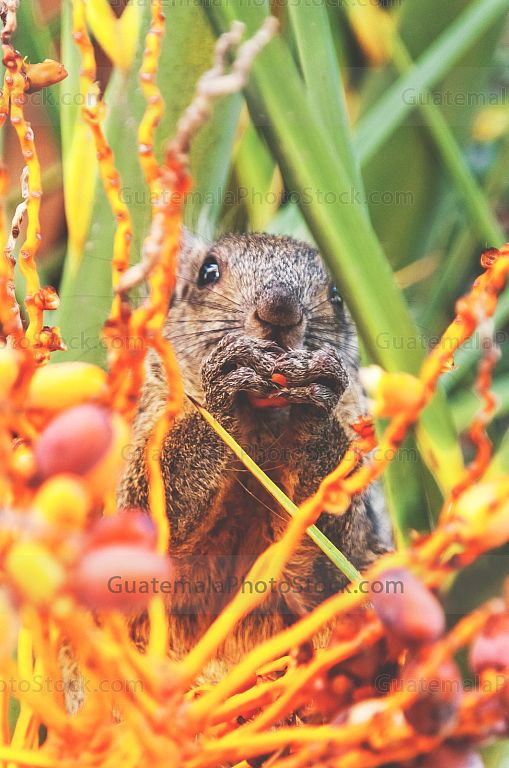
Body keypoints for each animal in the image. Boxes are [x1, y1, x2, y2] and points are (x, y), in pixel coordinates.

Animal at [117, 231, 393, 681]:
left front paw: (317, 405)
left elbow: (328, 571)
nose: (280, 308)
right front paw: (223, 396)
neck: (261, 433)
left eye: (336, 294)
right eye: (208, 272)